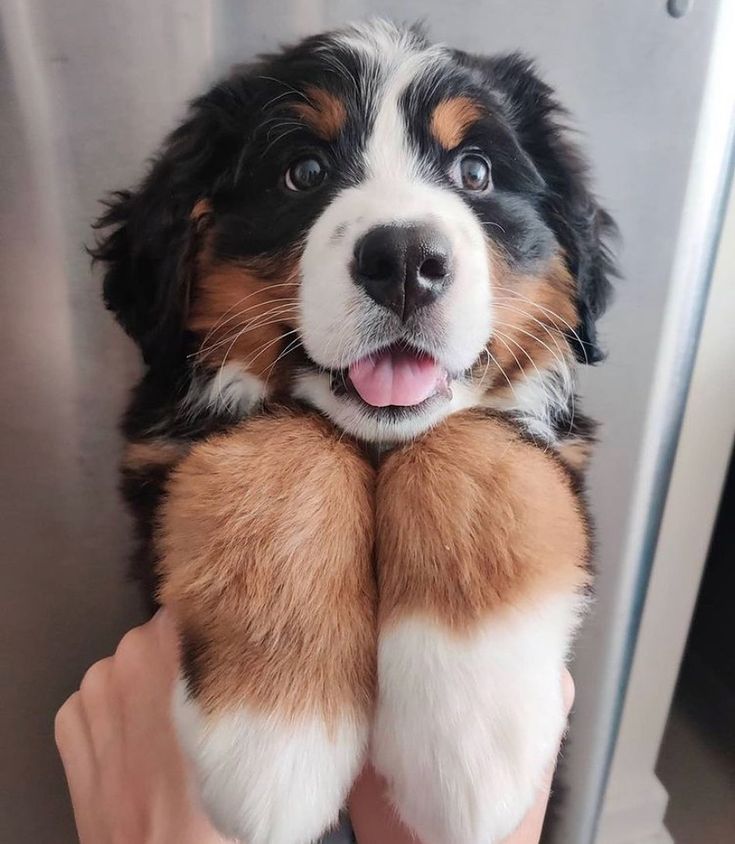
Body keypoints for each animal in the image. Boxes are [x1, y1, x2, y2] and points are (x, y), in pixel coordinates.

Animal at [95, 18, 620, 844]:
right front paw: (271, 743)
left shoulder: (553, 444)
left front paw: (472, 735)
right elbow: (287, 448)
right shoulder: (161, 448)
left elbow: (472, 446)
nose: (404, 260)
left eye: (474, 172)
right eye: (303, 172)